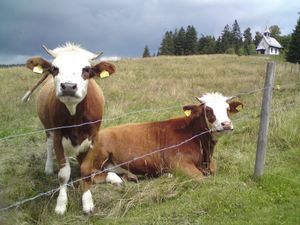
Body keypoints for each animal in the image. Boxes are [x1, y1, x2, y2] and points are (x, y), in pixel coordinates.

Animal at [24, 42, 117, 214]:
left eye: (86, 69)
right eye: (55, 68)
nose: (68, 86)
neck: (75, 116)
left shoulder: (94, 137)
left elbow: (85, 169)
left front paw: (87, 200)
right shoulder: (58, 137)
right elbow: (63, 174)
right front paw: (61, 203)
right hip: (47, 129)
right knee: (48, 144)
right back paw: (48, 167)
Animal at [80, 92, 244, 213]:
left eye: (227, 109)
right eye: (209, 110)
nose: (226, 124)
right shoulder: (179, 163)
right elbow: (203, 180)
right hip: (97, 155)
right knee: (88, 175)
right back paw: (102, 191)